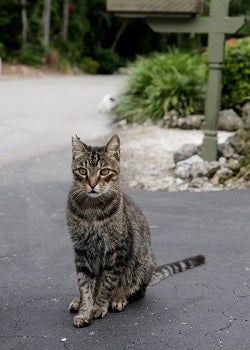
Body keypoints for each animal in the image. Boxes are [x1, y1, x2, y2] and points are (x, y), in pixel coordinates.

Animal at [66, 135, 205, 328]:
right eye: (82, 171)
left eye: (104, 171)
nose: (92, 184)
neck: (92, 210)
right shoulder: (82, 250)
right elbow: (85, 285)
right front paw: (84, 310)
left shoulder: (117, 249)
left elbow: (107, 283)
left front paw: (99, 307)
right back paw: (79, 301)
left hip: (142, 262)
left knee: (136, 290)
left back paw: (118, 298)